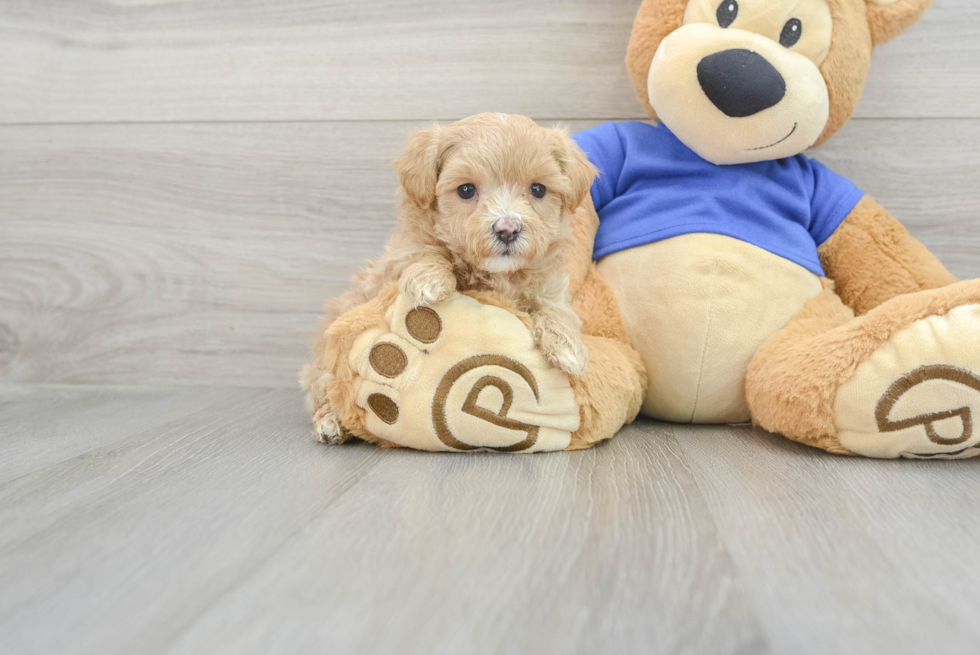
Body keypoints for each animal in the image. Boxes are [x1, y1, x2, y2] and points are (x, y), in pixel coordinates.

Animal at [304, 113, 596, 444]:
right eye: (466, 190)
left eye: (538, 189)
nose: (508, 229)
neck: (494, 274)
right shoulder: (395, 261)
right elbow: (423, 250)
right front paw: (430, 279)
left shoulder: (549, 285)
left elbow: (557, 309)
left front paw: (568, 348)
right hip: (325, 366)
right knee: (324, 391)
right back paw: (331, 423)